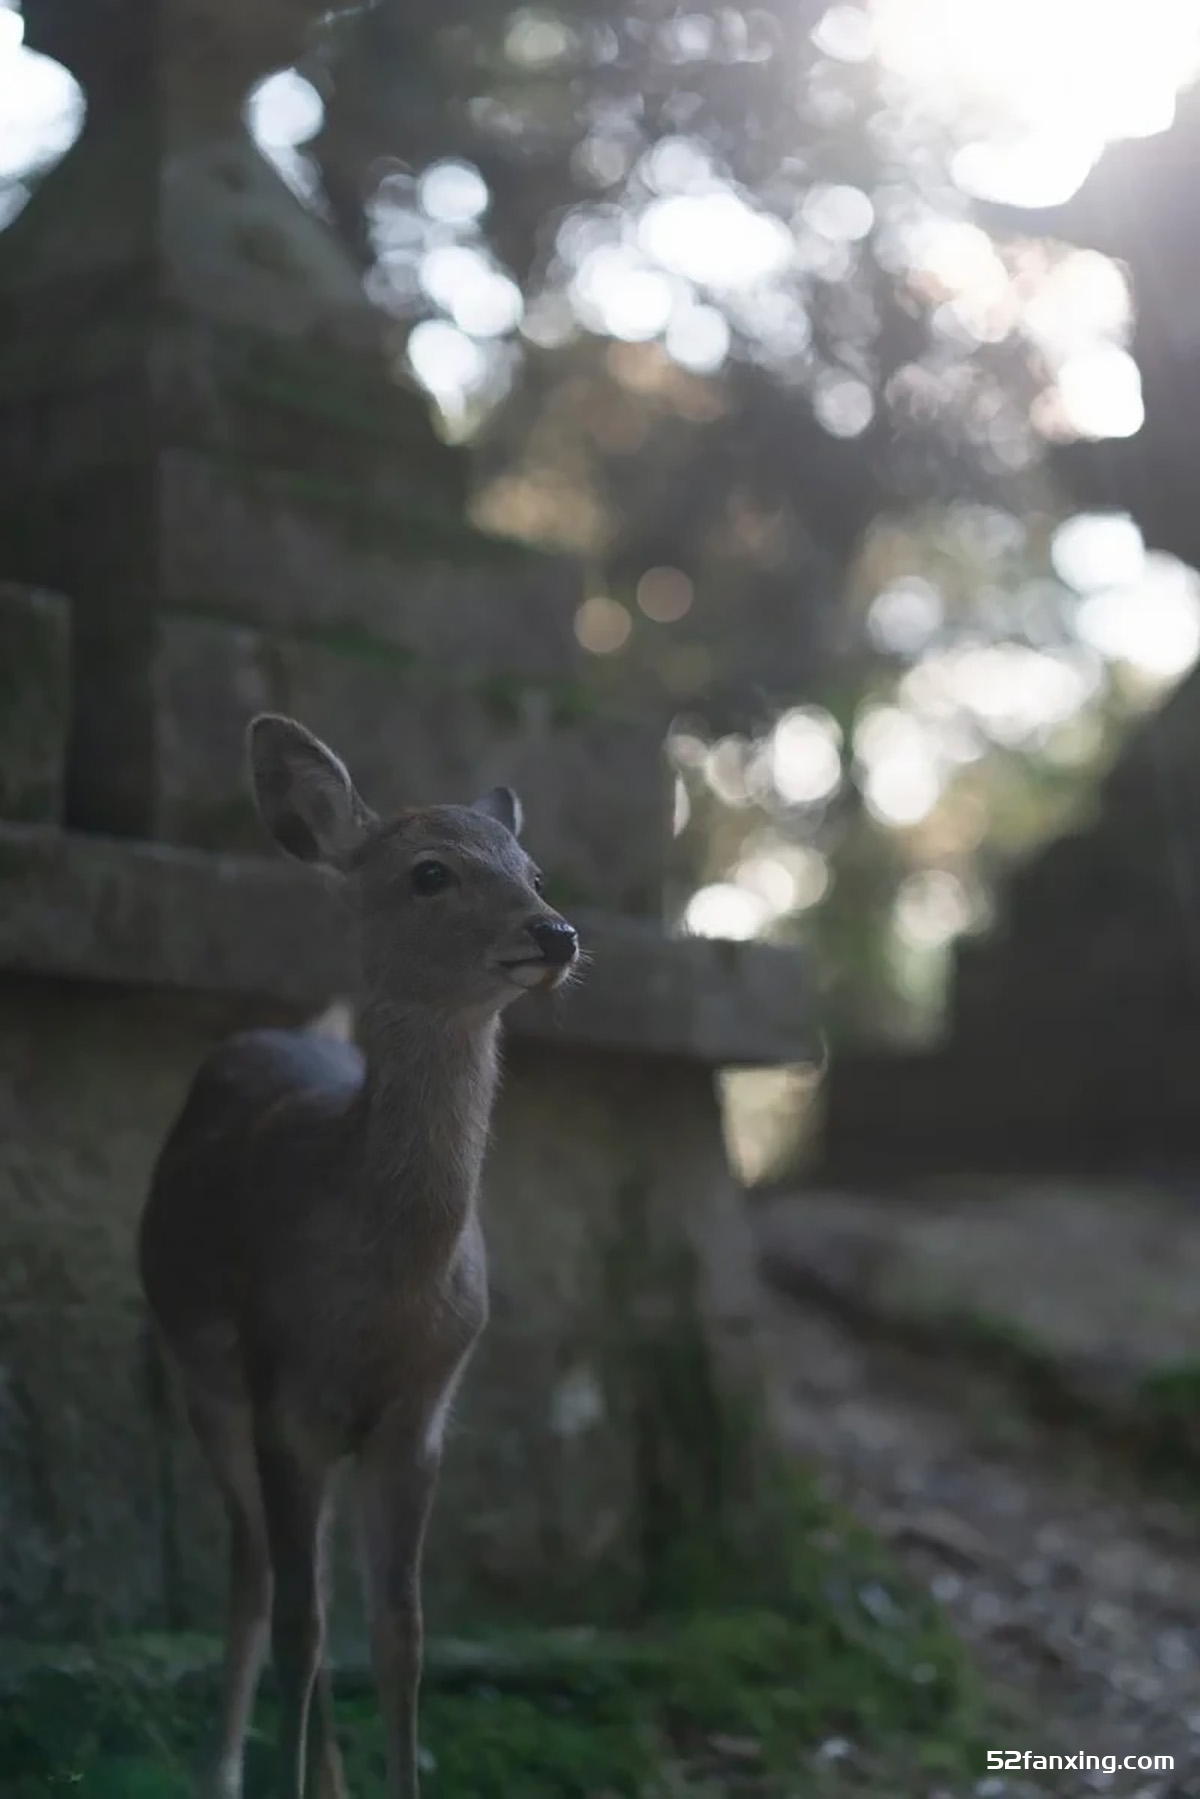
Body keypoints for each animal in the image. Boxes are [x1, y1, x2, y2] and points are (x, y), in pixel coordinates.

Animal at [138, 708, 579, 1791]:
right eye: (429, 872)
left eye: (533, 868)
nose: (554, 931)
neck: (384, 1297)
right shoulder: (281, 1392)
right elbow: (301, 1622)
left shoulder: (418, 1414)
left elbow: (401, 1632)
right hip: (203, 1382)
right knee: (256, 1574)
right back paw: (223, 1770)